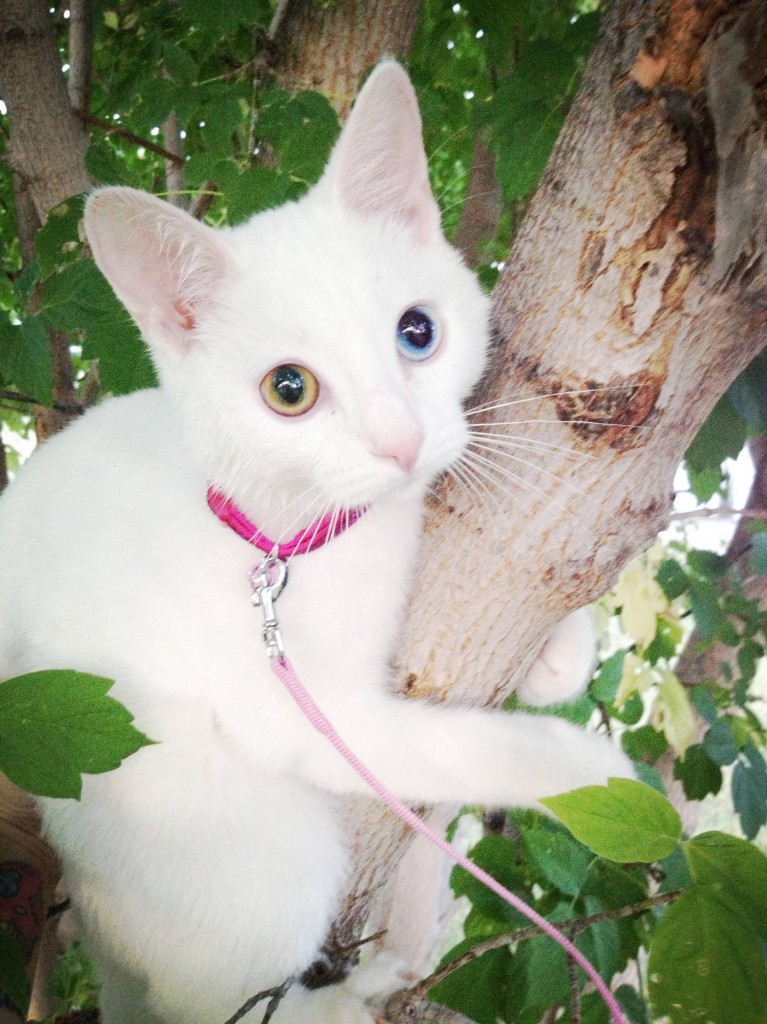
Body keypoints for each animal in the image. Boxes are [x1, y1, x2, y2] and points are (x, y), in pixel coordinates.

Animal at [0, 61, 626, 1024]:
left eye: (418, 331)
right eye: (287, 390)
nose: (400, 443)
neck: (294, 537)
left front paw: (560, 648)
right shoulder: (292, 712)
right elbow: (449, 745)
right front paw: (588, 773)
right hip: (216, 829)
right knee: (217, 998)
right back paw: (359, 989)